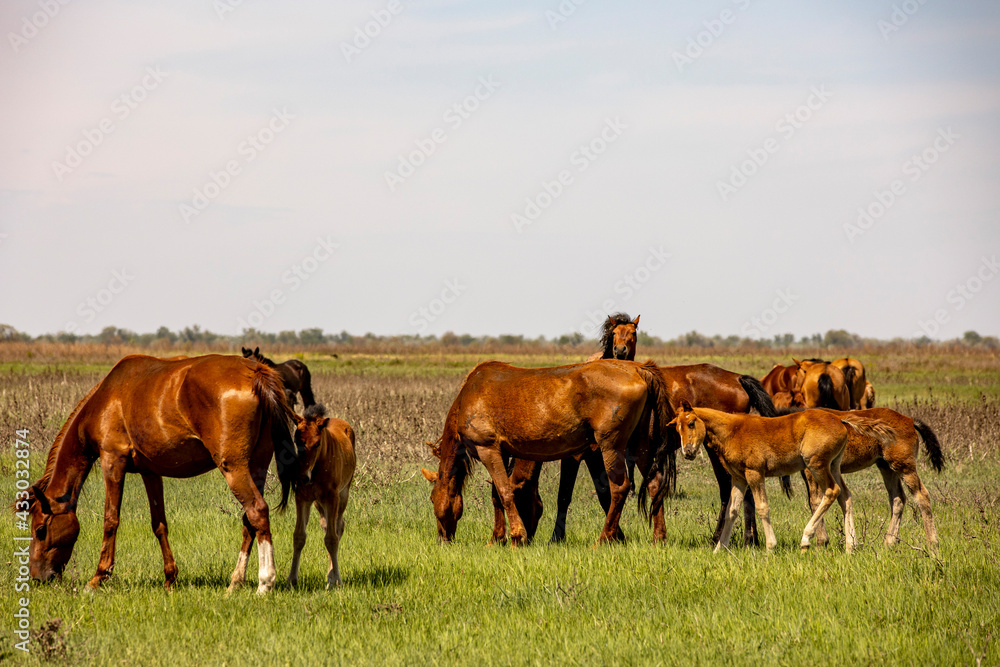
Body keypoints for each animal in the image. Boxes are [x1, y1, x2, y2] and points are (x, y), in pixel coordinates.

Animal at [25, 354, 298, 596]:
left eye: (40, 529)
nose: (37, 578)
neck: (106, 399)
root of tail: (255, 372)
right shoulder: (150, 472)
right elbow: (159, 524)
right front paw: (170, 579)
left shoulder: (112, 461)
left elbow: (111, 520)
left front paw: (97, 578)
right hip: (256, 466)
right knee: (249, 521)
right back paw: (235, 583)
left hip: (234, 467)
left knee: (257, 511)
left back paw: (265, 583)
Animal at [286, 404, 356, 592]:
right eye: (297, 441)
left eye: (317, 443)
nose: (302, 477)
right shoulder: (302, 497)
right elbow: (299, 536)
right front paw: (291, 580)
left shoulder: (332, 497)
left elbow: (332, 539)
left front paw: (335, 580)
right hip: (319, 503)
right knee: (325, 525)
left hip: (343, 495)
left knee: (338, 528)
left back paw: (332, 576)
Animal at [418, 360, 668, 548]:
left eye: (431, 498)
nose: (442, 539)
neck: (468, 396)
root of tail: (638, 369)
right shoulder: (501, 452)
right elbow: (496, 496)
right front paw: (496, 538)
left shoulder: (487, 448)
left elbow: (505, 493)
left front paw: (516, 537)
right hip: (640, 445)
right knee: (654, 482)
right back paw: (659, 537)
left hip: (611, 446)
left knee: (619, 488)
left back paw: (604, 539)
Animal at [656, 402, 860, 552]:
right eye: (677, 429)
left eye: (691, 423)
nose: (688, 452)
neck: (732, 430)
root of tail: (840, 420)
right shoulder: (738, 478)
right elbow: (732, 512)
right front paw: (719, 549)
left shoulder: (754, 473)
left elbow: (762, 507)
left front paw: (771, 547)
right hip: (833, 466)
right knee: (845, 496)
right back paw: (851, 546)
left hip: (816, 465)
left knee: (832, 491)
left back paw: (806, 538)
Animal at [796, 408, 936, 552]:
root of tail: (910, 420)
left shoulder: (812, 470)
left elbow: (815, 501)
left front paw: (820, 543)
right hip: (886, 467)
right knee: (898, 498)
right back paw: (888, 544)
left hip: (905, 468)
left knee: (922, 496)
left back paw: (932, 544)